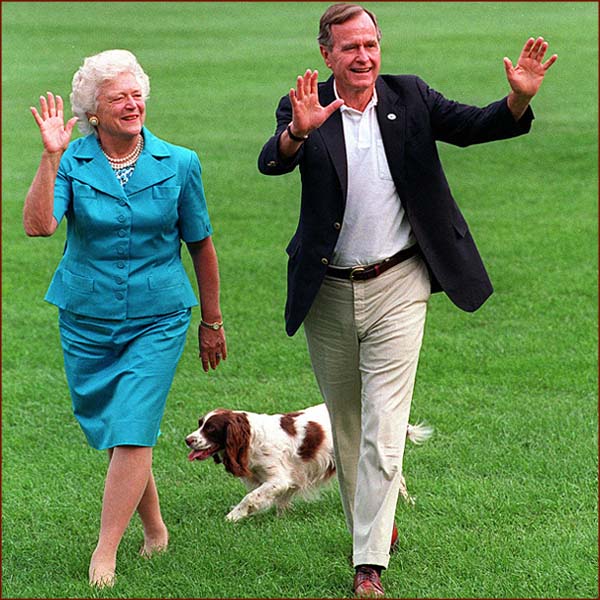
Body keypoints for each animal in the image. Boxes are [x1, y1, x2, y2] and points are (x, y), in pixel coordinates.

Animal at [184, 404, 432, 524]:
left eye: (210, 429)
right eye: (200, 423)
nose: (187, 439)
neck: (252, 437)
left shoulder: (278, 479)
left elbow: (250, 498)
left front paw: (232, 517)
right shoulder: (287, 478)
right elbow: (280, 502)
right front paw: (281, 520)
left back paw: (407, 504)